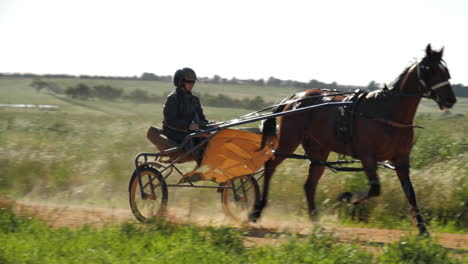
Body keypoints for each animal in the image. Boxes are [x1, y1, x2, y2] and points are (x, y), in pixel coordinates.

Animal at [252, 44, 458, 236]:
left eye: (446, 71)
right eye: (430, 70)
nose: (450, 100)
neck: (387, 111)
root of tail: (295, 97)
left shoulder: (401, 159)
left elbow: (410, 192)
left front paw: (423, 229)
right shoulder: (367, 157)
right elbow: (375, 189)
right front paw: (346, 197)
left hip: (318, 150)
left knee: (309, 184)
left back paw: (316, 221)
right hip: (289, 140)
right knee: (271, 165)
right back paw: (257, 210)